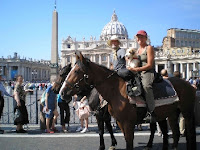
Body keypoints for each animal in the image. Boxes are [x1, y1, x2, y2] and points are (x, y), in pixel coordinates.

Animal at [59, 52, 197, 149]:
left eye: (77, 71)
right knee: (174, 133)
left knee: (189, 132)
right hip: (170, 113)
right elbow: (112, 132)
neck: (116, 91)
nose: (62, 92)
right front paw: (111, 143)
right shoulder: (118, 120)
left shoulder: (124, 121)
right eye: (66, 73)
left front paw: (104, 146)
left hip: (187, 112)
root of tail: (189, 85)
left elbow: (117, 137)